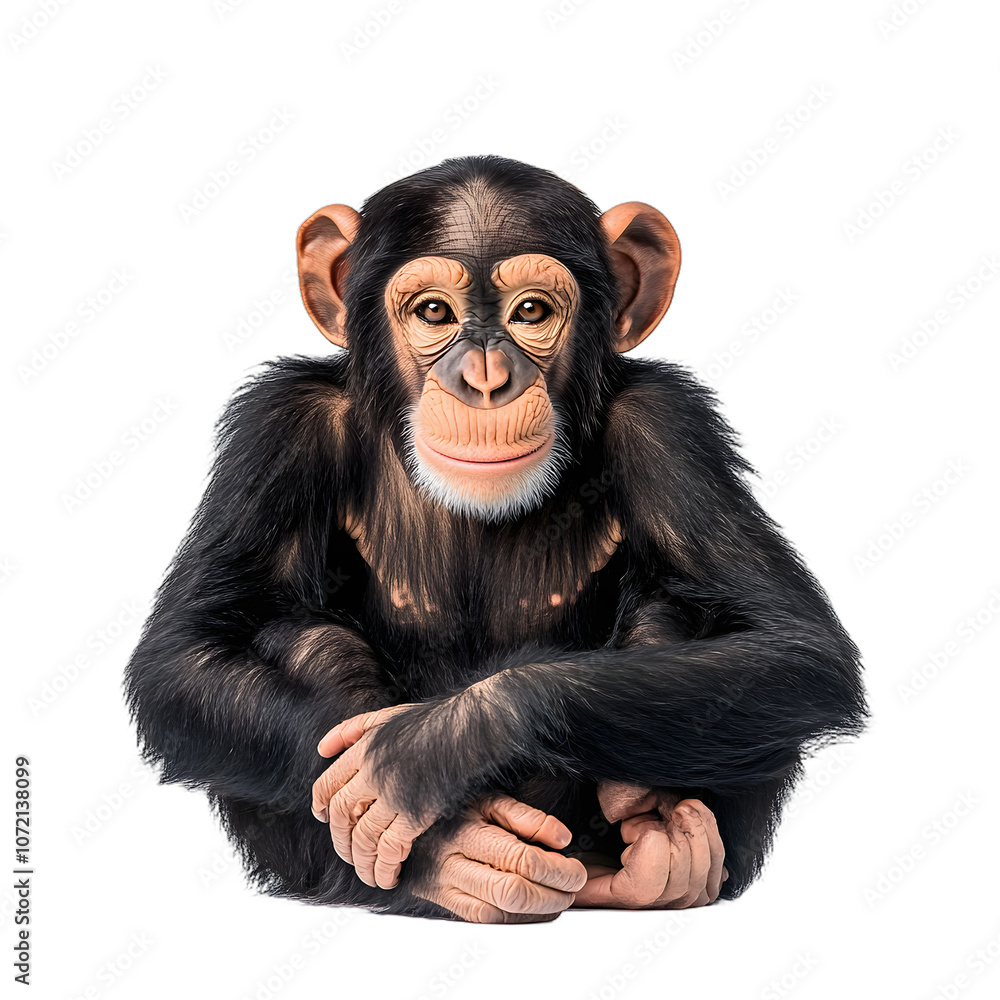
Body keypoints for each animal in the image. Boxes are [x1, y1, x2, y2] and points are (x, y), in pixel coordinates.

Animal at [124, 155, 866, 922]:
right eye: (434, 314)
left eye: (531, 312)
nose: (485, 378)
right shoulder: (278, 428)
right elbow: (182, 657)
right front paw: (435, 825)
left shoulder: (668, 426)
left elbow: (793, 647)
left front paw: (417, 757)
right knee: (301, 636)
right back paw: (455, 867)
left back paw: (664, 846)